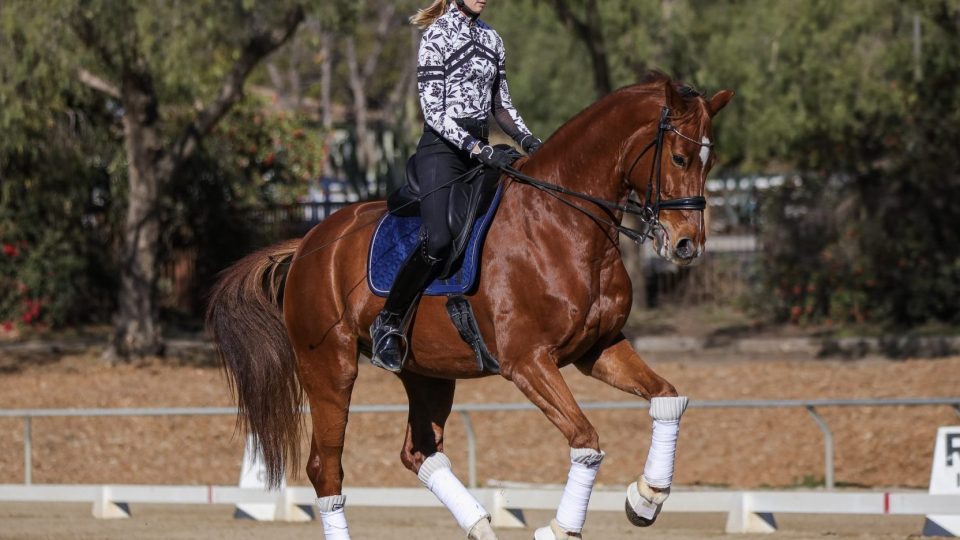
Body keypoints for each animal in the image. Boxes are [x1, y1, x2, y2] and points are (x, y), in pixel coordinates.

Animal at [207, 71, 733, 539]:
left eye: (709, 164)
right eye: (680, 157)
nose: (687, 245)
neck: (563, 224)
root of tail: (310, 243)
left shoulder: (597, 350)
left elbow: (668, 398)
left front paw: (646, 498)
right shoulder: (527, 362)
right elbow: (585, 440)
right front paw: (562, 528)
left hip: (428, 373)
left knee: (419, 452)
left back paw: (481, 526)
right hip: (330, 368)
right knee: (325, 468)